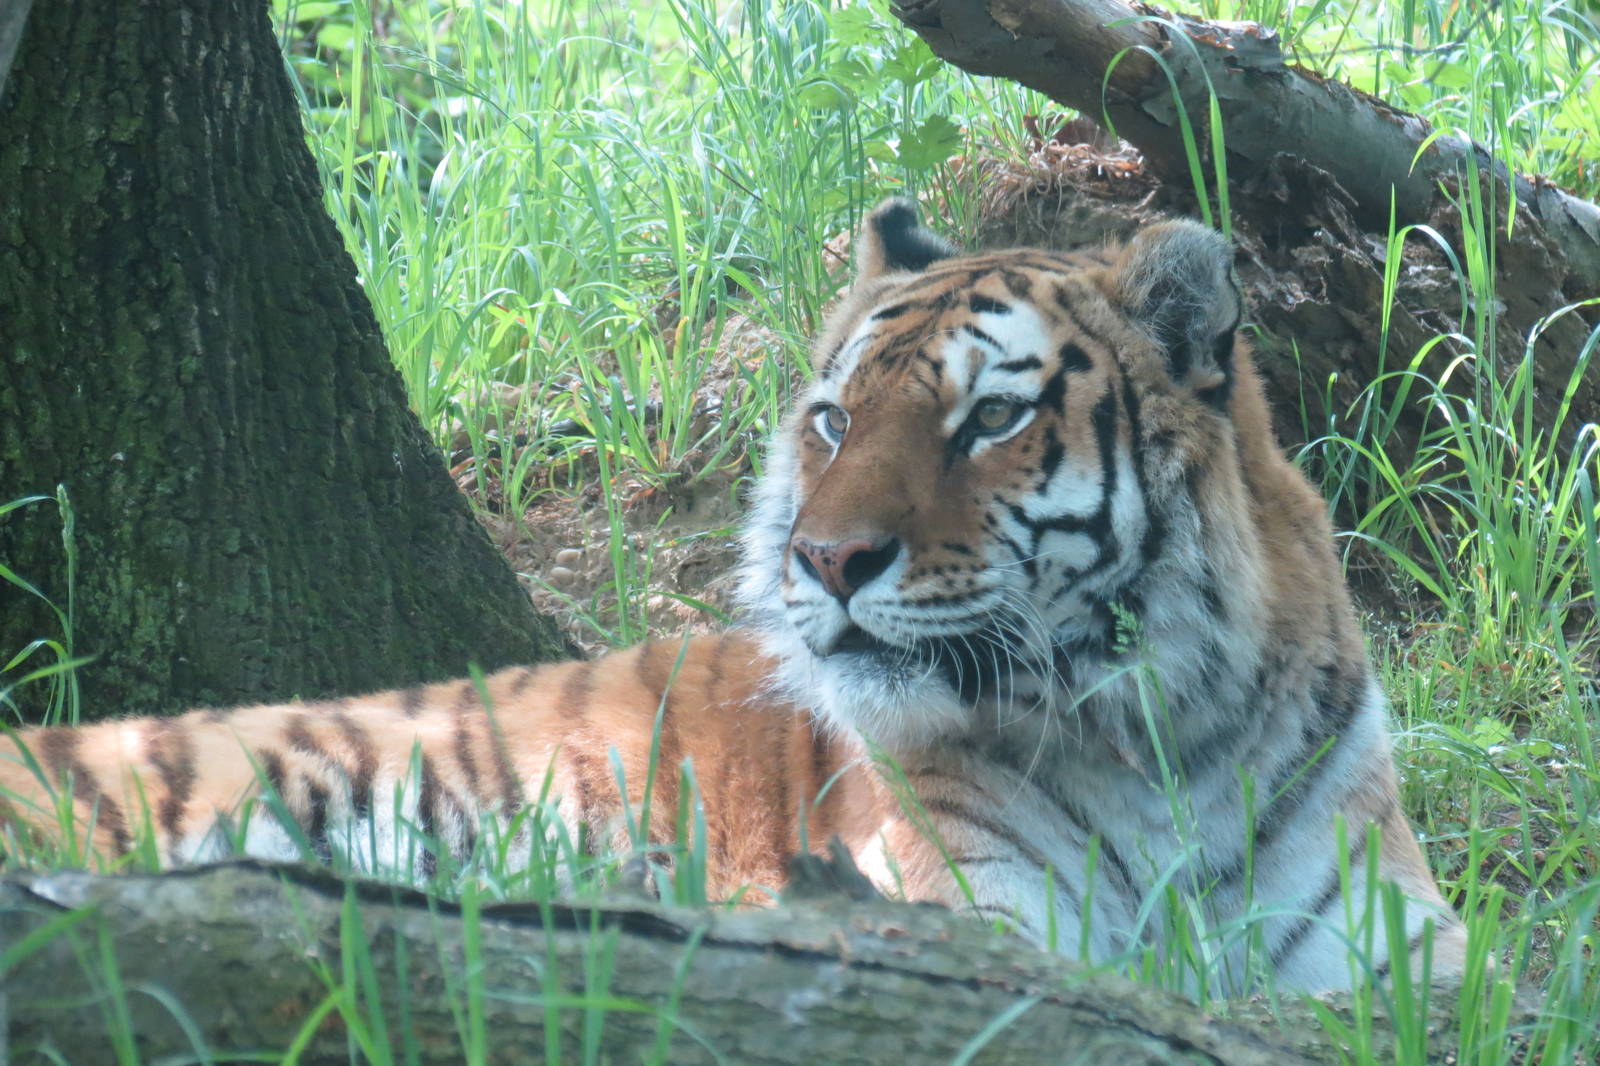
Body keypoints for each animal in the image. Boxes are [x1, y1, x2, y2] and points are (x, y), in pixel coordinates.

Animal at [0, 198, 1465, 993]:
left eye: (991, 419)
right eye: (832, 421)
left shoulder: (1397, 949)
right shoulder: (974, 914)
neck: (1157, 733)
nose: (826, 561)